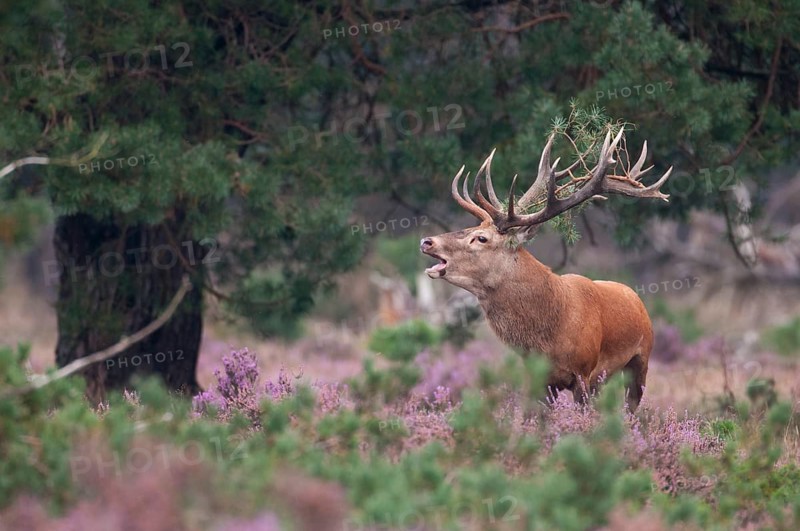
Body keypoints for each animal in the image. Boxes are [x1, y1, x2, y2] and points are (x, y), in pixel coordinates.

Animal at [420, 129, 672, 411]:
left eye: (481, 238)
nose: (427, 241)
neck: (549, 336)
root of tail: (636, 298)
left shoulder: (583, 371)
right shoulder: (538, 378)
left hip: (641, 359)